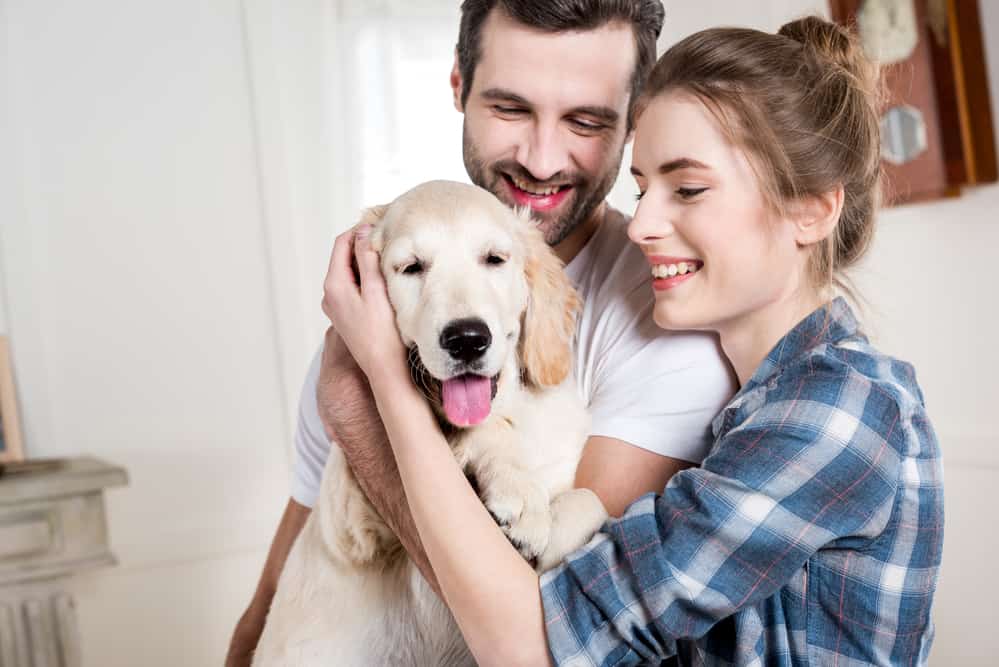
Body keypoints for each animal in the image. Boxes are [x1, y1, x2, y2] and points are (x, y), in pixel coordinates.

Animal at [254, 181, 604, 667]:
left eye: (494, 259)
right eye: (411, 267)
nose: (467, 339)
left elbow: (590, 500)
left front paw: (545, 539)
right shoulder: (349, 516)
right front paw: (519, 495)